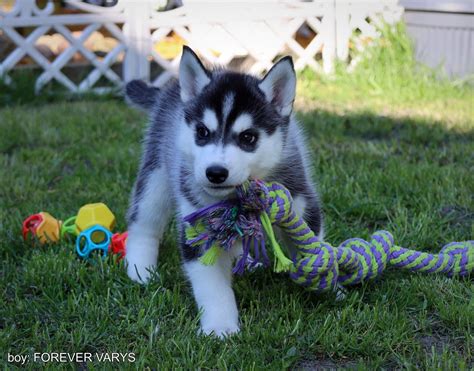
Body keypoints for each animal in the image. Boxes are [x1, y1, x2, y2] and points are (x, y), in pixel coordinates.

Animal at [124, 45, 322, 338]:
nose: (215, 172)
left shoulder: (300, 201)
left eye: (248, 137)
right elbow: (212, 287)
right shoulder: (198, 227)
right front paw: (220, 326)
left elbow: (312, 249)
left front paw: (325, 286)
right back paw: (140, 270)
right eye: (202, 132)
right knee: (144, 223)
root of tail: (170, 89)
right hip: (157, 175)